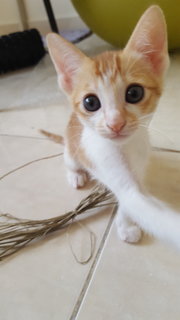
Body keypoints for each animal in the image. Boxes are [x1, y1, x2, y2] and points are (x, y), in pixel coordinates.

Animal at [45, 6, 180, 248]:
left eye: (134, 93)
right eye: (90, 103)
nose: (115, 123)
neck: (128, 148)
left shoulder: (137, 172)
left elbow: (130, 200)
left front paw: (124, 223)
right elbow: (142, 206)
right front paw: (128, 227)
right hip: (72, 151)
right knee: (69, 161)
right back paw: (76, 175)